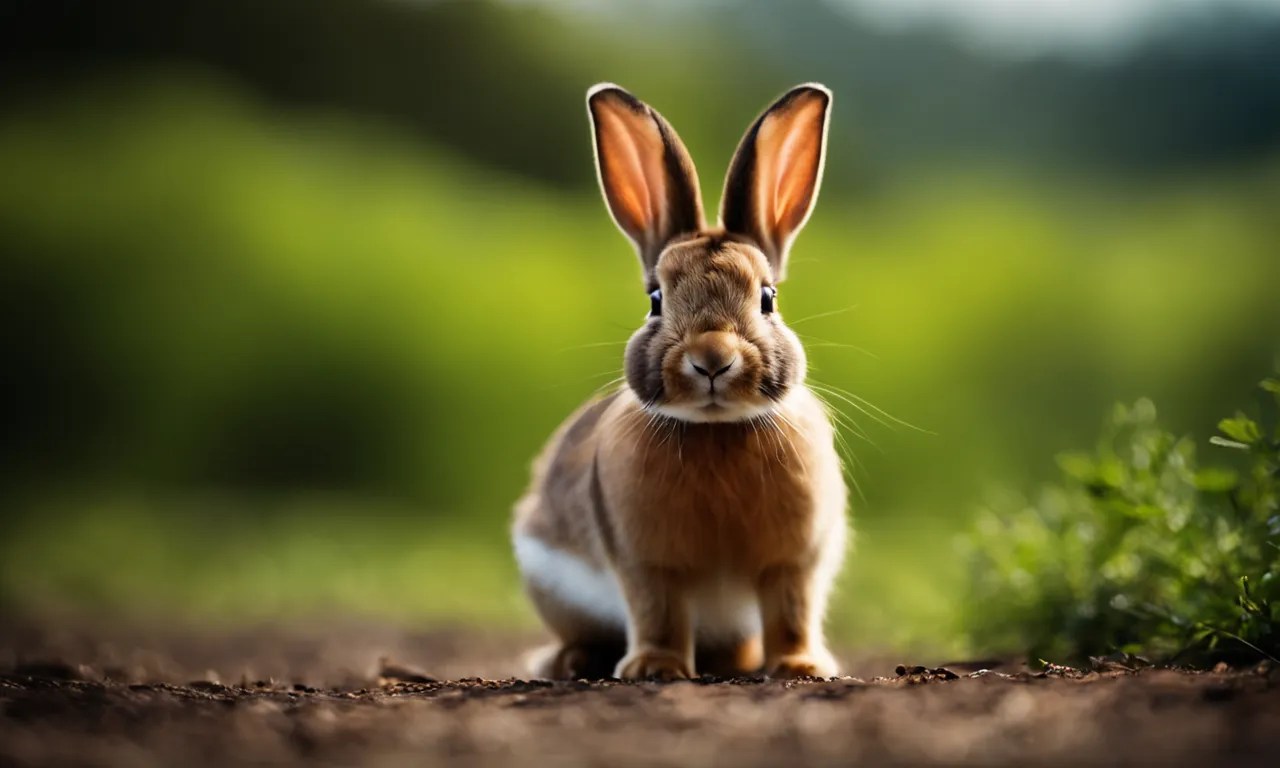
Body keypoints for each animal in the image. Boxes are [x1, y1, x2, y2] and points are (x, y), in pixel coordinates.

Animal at [512, 82, 847, 681]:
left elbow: (791, 613)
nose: (712, 359)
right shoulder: (646, 561)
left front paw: (800, 667)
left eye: (768, 298)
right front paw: (655, 667)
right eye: (655, 300)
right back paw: (571, 660)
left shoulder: (795, 563)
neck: (716, 430)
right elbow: (658, 610)